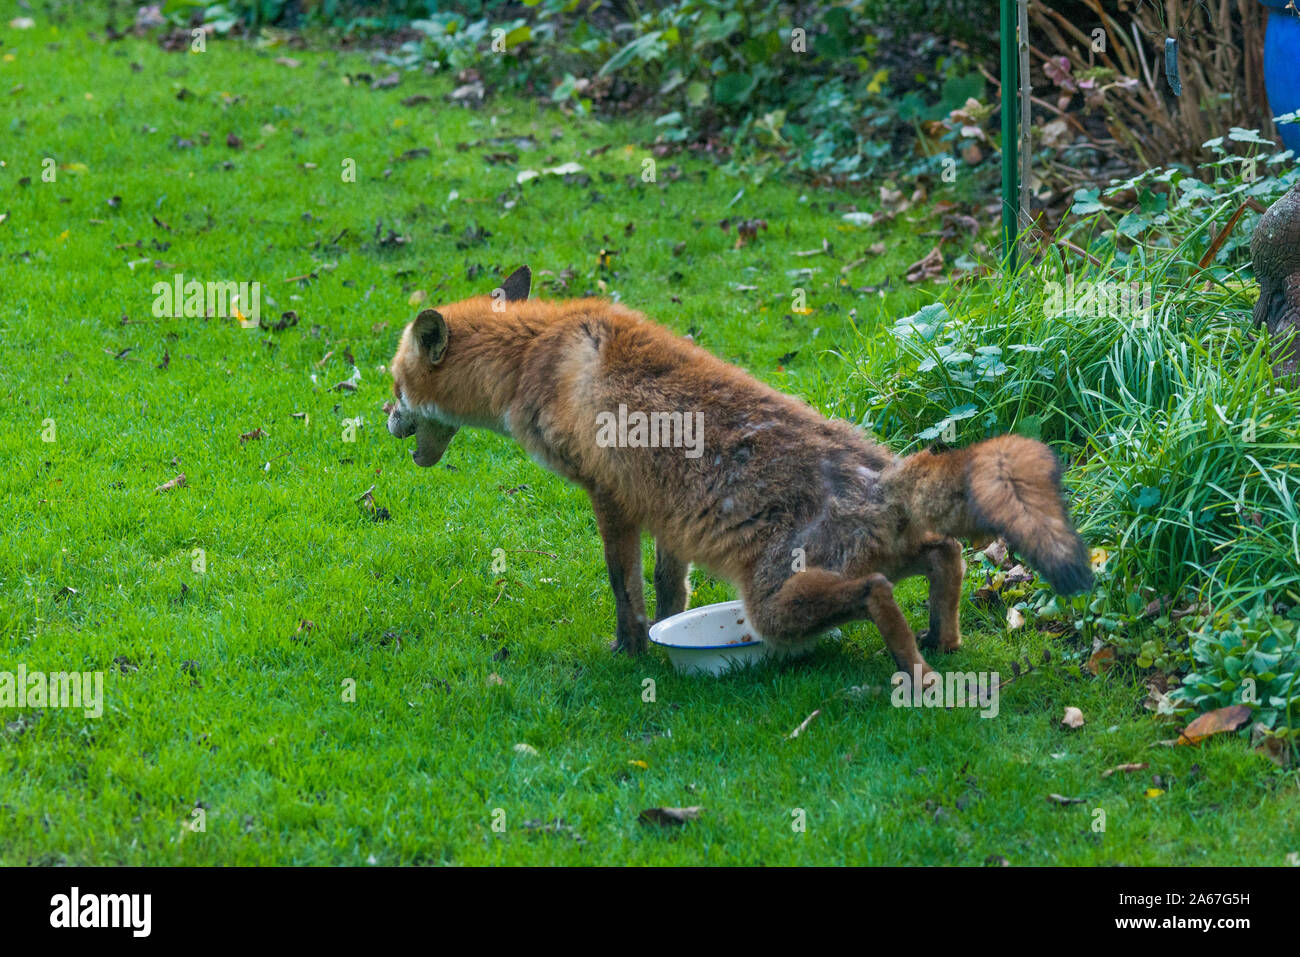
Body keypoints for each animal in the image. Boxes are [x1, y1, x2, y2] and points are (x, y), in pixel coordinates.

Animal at [387, 265, 1093, 677]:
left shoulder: (610, 497)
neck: (533, 352)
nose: (386, 420)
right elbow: (669, 591)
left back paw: (912, 666)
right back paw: (941, 642)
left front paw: (630, 650)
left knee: (875, 593)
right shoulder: (662, 510)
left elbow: (626, 591)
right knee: (945, 553)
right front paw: (662, 640)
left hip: (775, 603)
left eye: (395, 385)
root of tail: (883, 480)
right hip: (867, 558)